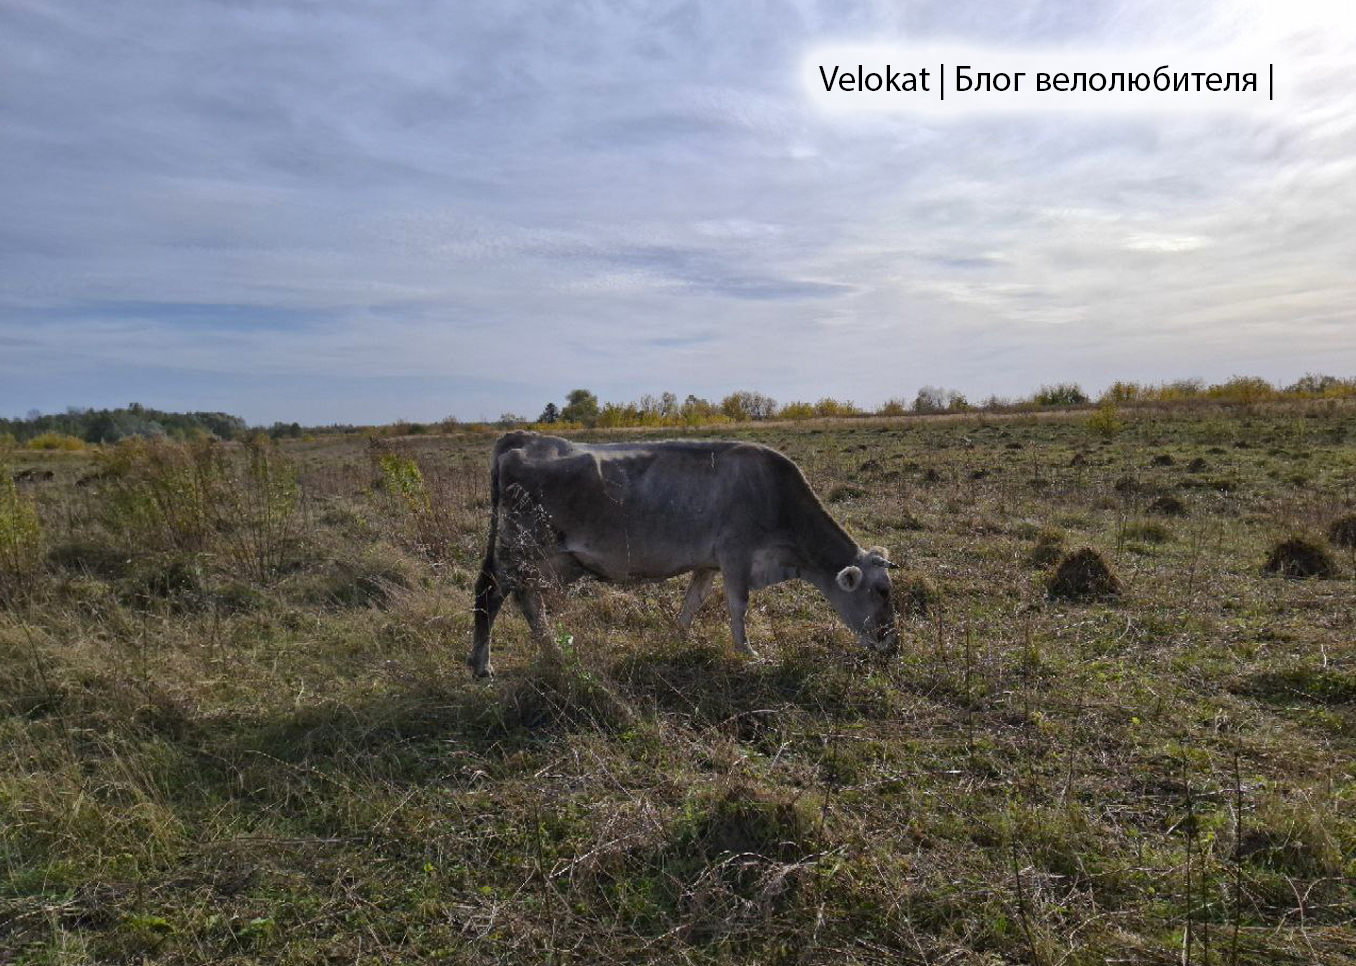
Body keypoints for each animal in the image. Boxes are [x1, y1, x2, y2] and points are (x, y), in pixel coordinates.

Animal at [469, 434, 900, 675]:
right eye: (882, 591)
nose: (892, 645)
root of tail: (522, 437)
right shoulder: (736, 555)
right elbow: (739, 607)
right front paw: (750, 654)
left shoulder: (708, 562)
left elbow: (693, 602)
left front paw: (678, 640)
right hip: (519, 548)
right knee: (493, 593)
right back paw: (488, 663)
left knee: (524, 599)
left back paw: (545, 655)